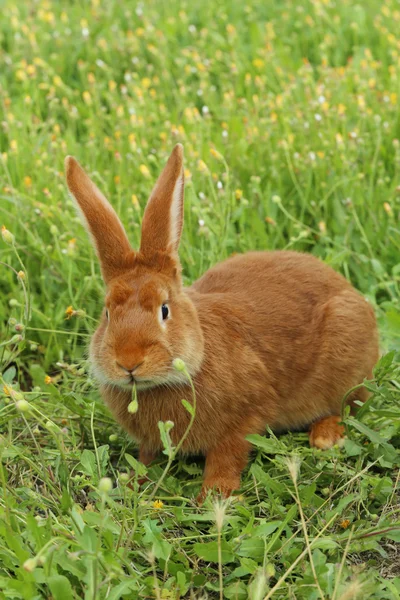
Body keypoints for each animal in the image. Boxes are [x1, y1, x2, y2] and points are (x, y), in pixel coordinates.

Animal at [65, 143, 378, 500]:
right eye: (107, 313)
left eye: (164, 310)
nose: (129, 362)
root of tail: (347, 289)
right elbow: (146, 456)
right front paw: (133, 484)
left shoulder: (244, 419)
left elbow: (227, 456)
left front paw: (214, 496)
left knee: (349, 404)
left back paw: (325, 437)